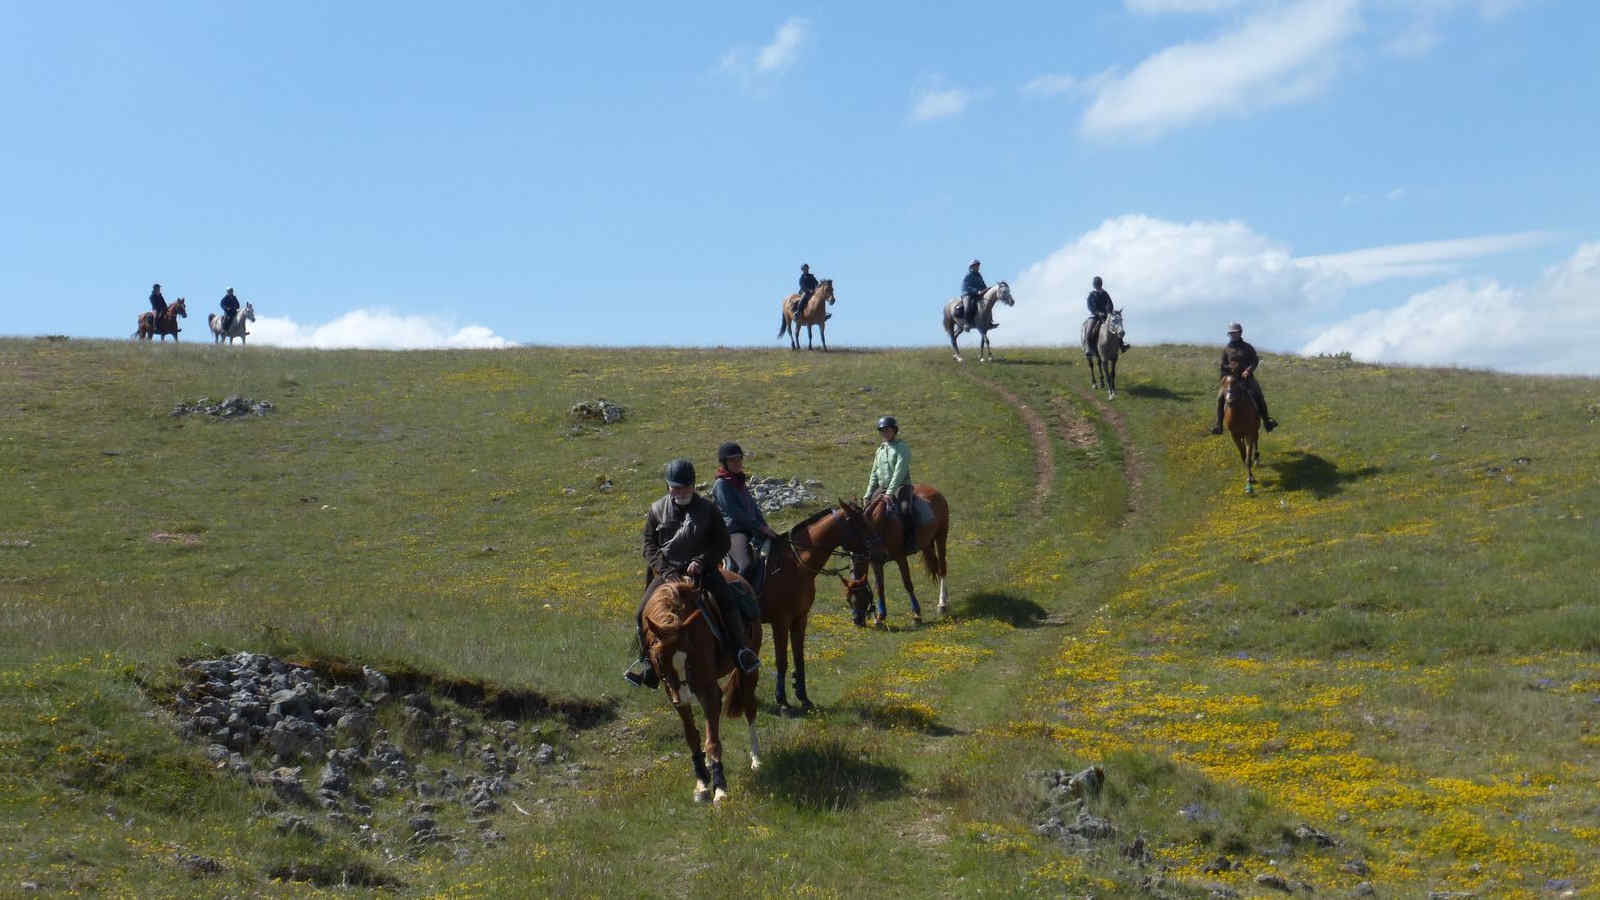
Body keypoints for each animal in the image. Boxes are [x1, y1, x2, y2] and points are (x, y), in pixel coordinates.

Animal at [636, 570, 761, 800]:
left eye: (690, 657)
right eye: (659, 660)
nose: (685, 696)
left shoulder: (709, 693)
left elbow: (712, 741)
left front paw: (720, 788)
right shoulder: (673, 693)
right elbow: (692, 737)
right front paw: (702, 781)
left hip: (749, 669)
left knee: (750, 709)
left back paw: (756, 758)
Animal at [838, 483, 947, 624]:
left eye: (861, 596)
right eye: (848, 599)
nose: (857, 621)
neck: (878, 526)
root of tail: (934, 491)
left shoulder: (900, 557)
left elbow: (907, 583)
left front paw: (917, 614)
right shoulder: (876, 562)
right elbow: (880, 587)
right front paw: (880, 617)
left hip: (941, 536)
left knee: (942, 569)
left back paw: (942, 604)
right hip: (927, 543)